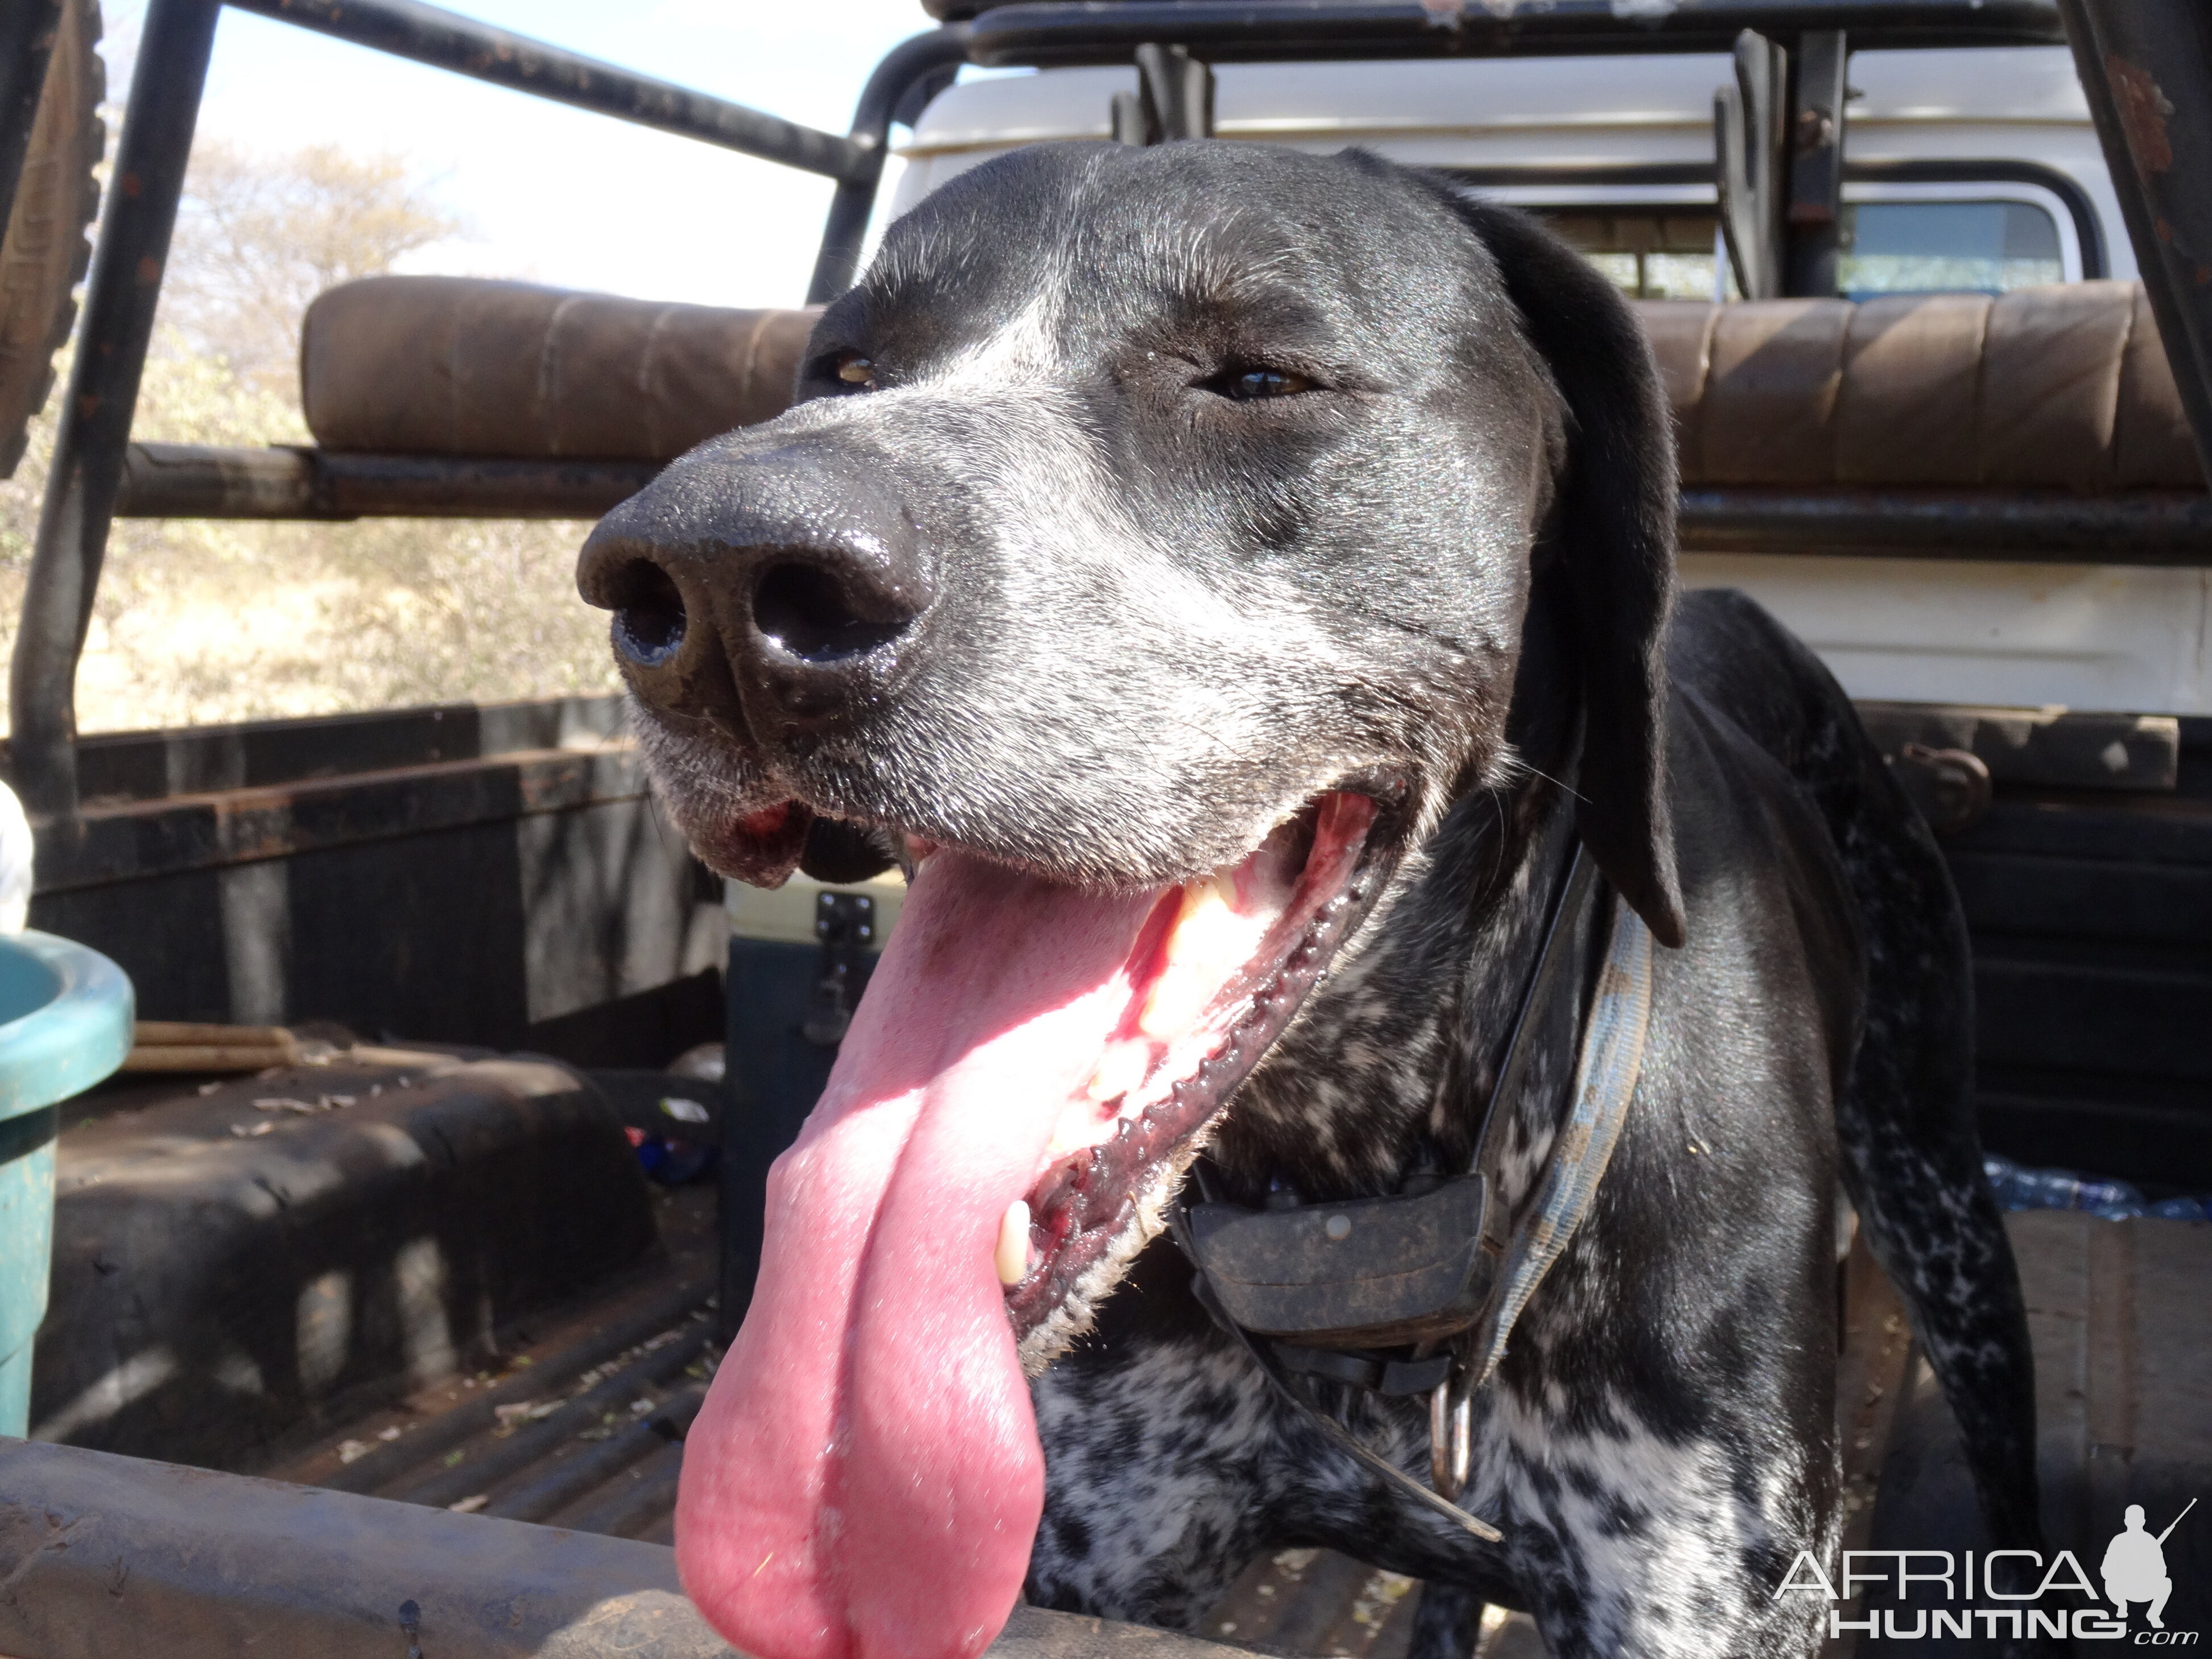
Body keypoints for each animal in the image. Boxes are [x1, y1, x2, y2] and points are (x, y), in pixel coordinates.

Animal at [579, 139, 2044, 1659]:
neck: (1357, 1202)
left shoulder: (1698, 1590)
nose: (715, 577)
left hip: (1943, 1202)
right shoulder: (1106, 1549)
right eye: (846, 370)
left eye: (1258, 378)